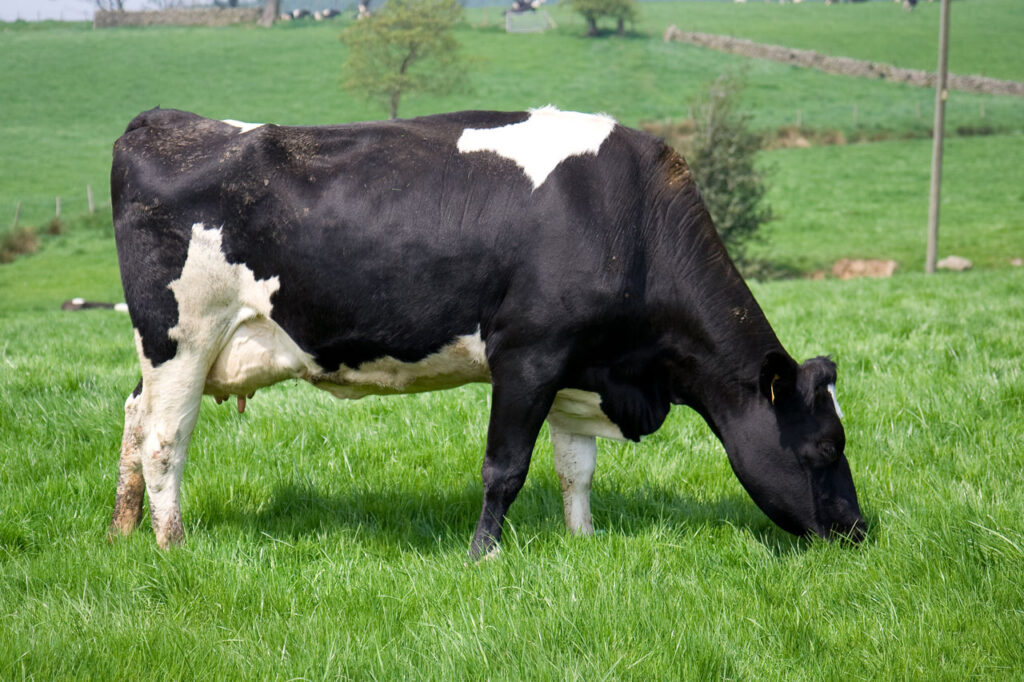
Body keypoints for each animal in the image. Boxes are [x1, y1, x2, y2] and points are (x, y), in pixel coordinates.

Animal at [109, 106, 865, 559]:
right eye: (825, 447)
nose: (859, 531)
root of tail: (165, 122)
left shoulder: (576, 366)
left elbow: (575, 466)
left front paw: (583, 541)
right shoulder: (527, 355)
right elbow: (505, 467)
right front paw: (484, 555)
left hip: (170, 352)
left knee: (134, 417)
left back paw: (123, 527)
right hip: (183, 337)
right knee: (165, 438)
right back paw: (171, 544)